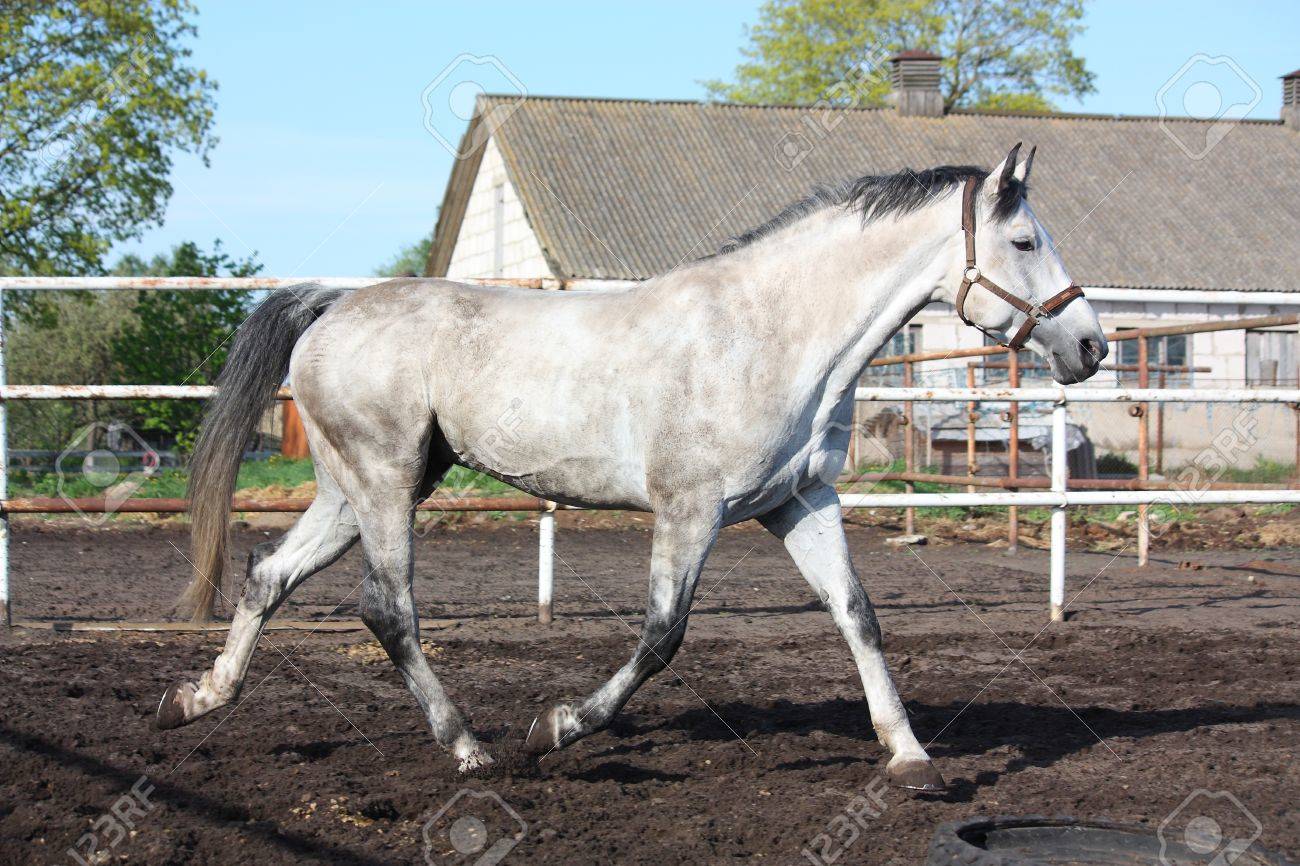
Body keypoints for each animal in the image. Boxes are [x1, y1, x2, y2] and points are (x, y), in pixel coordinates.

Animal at [157, 144, 1107, 792]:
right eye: (1025, 239)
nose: (1091, 345)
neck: (771, 333)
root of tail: (334, 303)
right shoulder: (690, 510)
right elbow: (661, 637)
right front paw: (556, 727)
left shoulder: (799, 501)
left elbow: (859, 617)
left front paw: (910, 759)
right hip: (386, 484)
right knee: (388, 610)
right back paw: (469, 746)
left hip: (355, 491)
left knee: (268, 577)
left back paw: (196, 699)